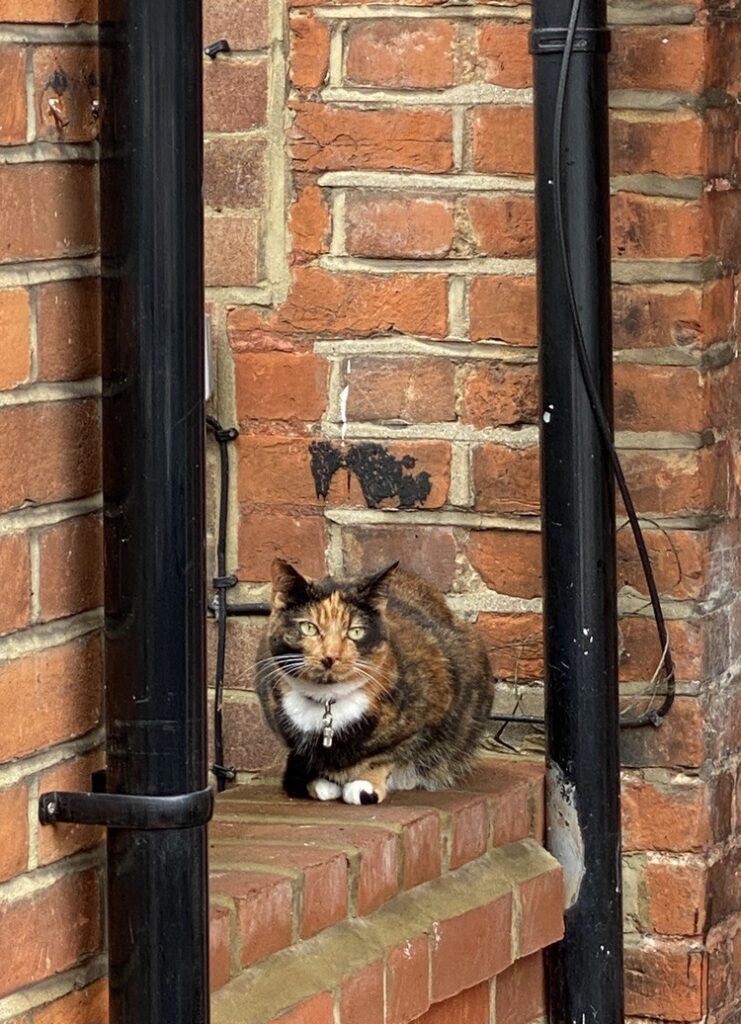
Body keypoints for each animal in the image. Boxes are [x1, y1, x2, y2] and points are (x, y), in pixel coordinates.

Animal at [254, 557, 491, 802]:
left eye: (356, 632)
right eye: (308, 627)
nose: (331, 656)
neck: (328, 703)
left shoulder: (433, 713)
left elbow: (387, 755)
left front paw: (365, 783)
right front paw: (321, 782)